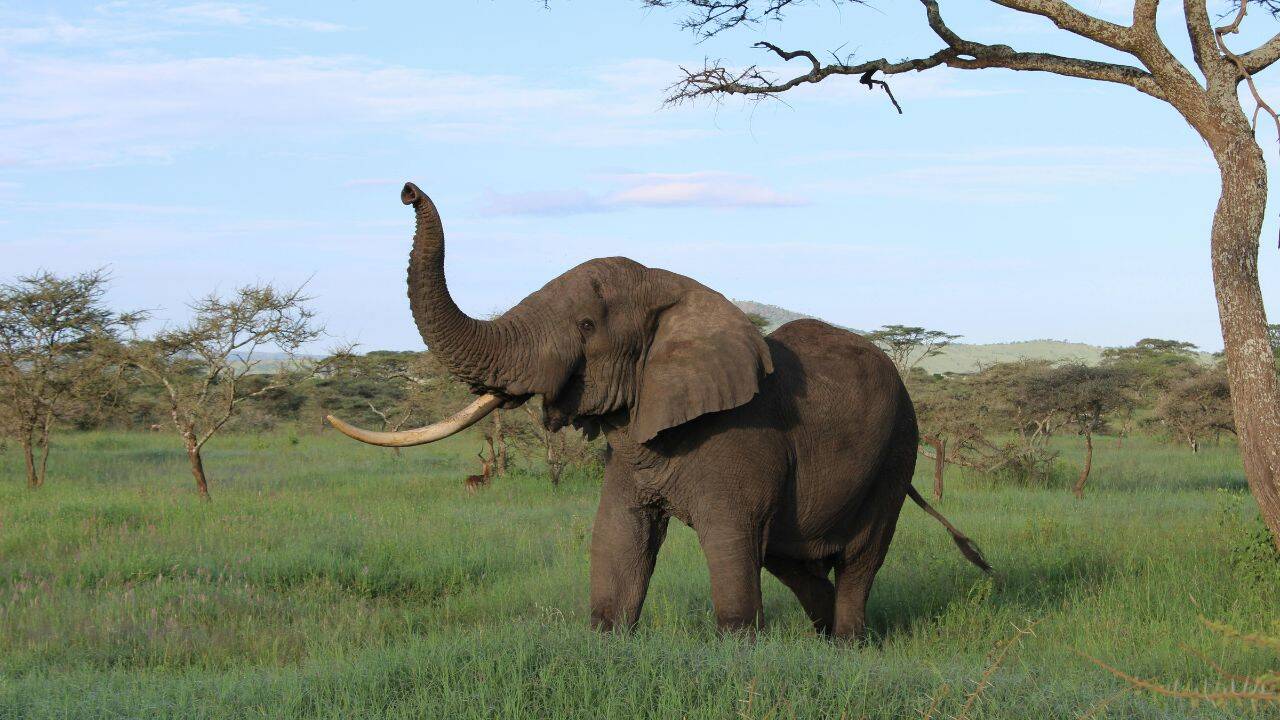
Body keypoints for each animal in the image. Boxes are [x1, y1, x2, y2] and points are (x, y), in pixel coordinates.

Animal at [328, 182, 992, 640]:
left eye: (587, 326)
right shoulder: (633, 442)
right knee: (790, 557)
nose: (407, 190)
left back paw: (850, 644)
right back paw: (827, 641)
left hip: (897, 450)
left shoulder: (742, 439)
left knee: (857, 558)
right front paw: (607, 641)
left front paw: (739, 657)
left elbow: (729, 546)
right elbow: (618, 541)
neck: (674, 290)